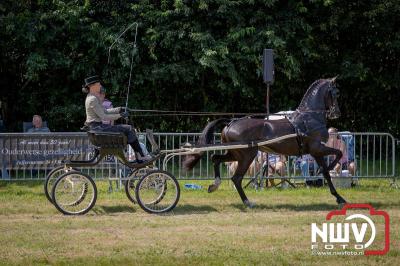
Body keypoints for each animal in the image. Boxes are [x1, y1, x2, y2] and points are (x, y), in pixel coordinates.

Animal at [183, 77, 346, 208]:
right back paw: (247, 202)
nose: (337, 113)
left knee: (215, 158)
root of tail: (231, 122)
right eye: (336, 93)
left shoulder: (316, 152)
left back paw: (214, 185)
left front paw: (338, 196)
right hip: (248, 155)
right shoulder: (317, 148)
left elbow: (327, 171)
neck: (309, 117)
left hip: (235, 154)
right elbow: (337, 155)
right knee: (236, 178)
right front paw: (339, 196)